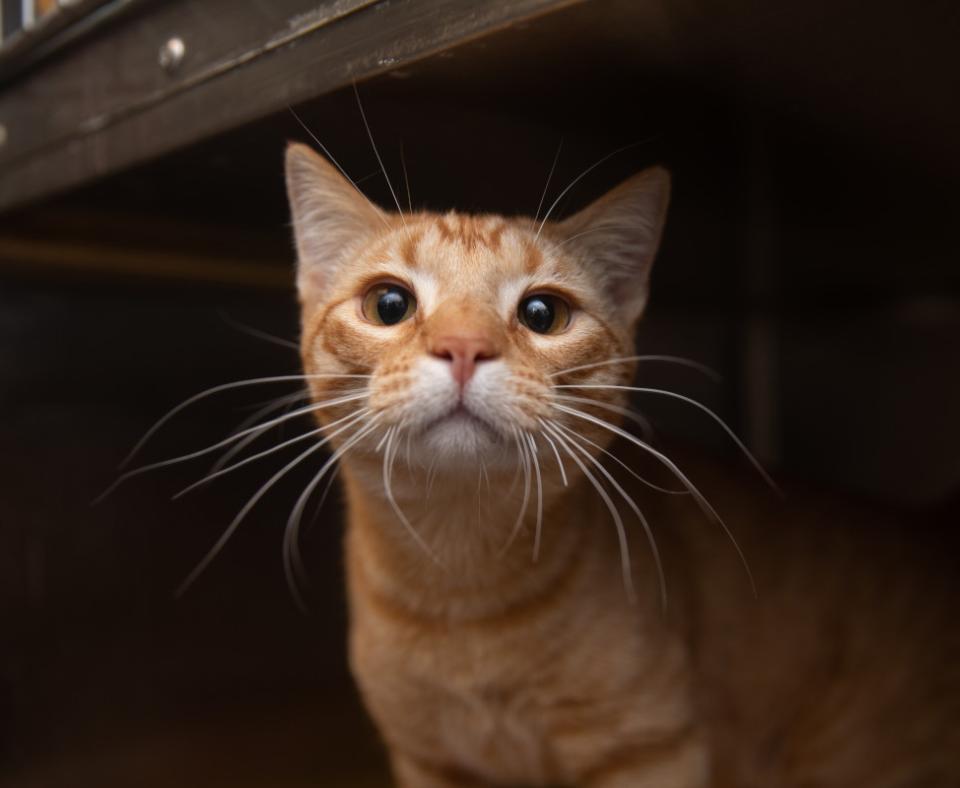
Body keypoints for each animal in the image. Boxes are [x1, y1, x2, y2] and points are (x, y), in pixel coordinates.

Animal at [284, 143, 960, 788]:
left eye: (542, 314)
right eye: (389, 303)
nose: (464, 347)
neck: (462, 586)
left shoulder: (650, 748)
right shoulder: (431, 762)